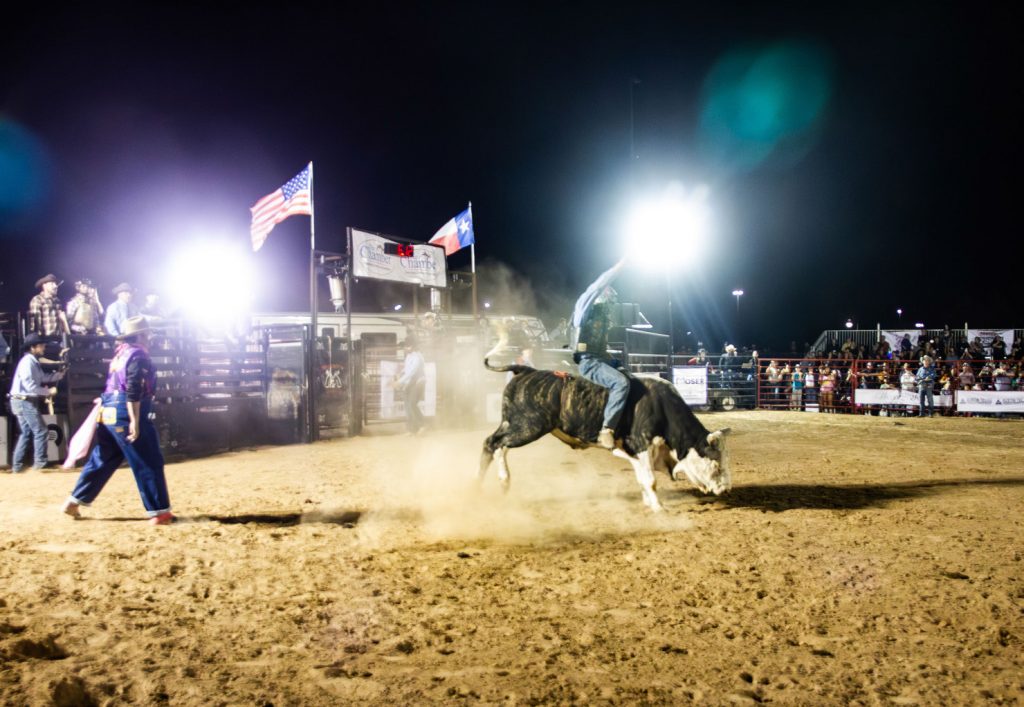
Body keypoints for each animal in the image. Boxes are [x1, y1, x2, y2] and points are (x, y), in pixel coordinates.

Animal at [479, 360, 729, 510]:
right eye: (716, 464)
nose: (725, 489)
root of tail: (526, 371)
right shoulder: (641, 443)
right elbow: (650, 479)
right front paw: (659, 507)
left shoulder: (630, 449)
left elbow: (642, 477)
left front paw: (648, 503)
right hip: (528, 426)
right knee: (495, 444)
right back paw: (500, 481)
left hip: (513, 423)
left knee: (490, 443)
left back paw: (481, 483)